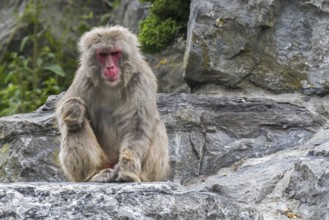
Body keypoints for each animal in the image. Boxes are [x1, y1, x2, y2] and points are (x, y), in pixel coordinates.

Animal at [56, 25, 169, 182]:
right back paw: (93, 174)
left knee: (156, 124)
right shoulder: (84, 78)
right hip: (104, 159)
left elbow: (138, 128)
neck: (113, 86)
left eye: (115, 53)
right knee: (74, 125)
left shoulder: (142, 79)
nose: (110, 67)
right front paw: (73, 108)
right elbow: (63, 115)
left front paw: (127, 167)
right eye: (103, 55)